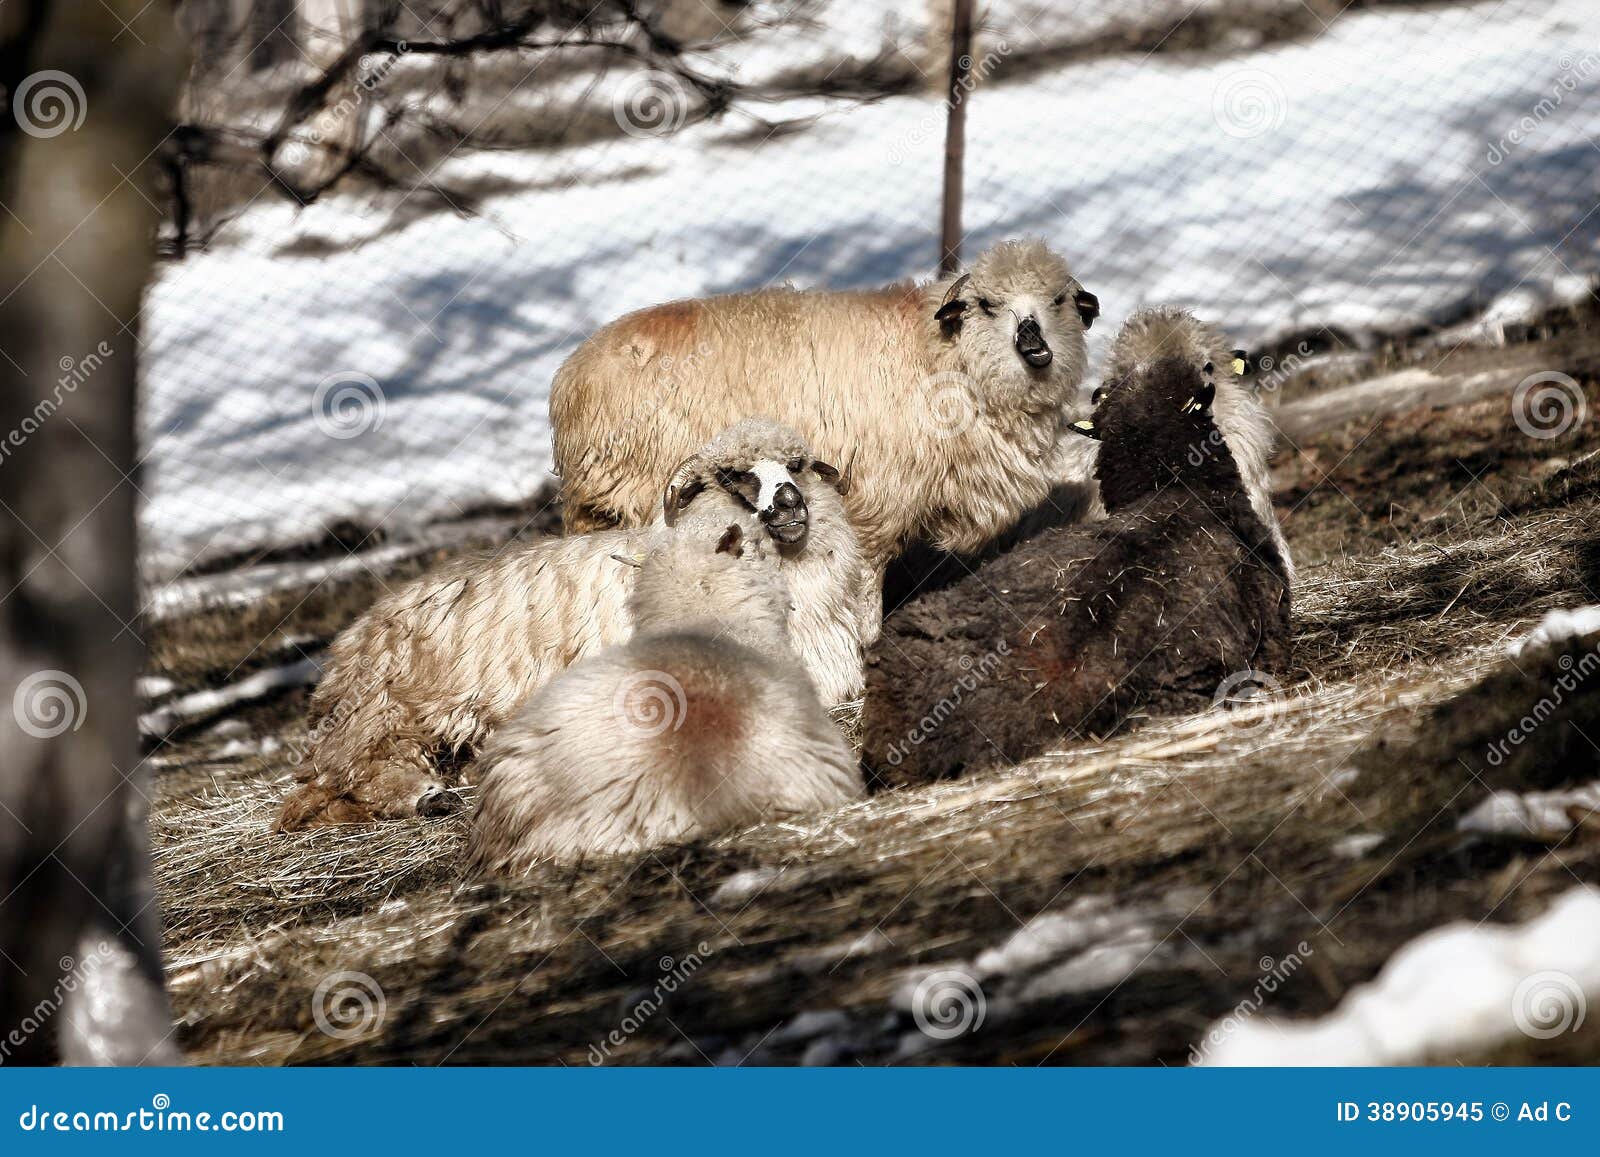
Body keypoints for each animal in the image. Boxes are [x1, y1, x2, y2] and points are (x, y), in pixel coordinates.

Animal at [281, 422, 870, 825]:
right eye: (731, 476)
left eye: (797, 463)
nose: (790, 505)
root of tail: (349, 639)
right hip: (386, 710)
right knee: (348, 775)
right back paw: (425, 796)